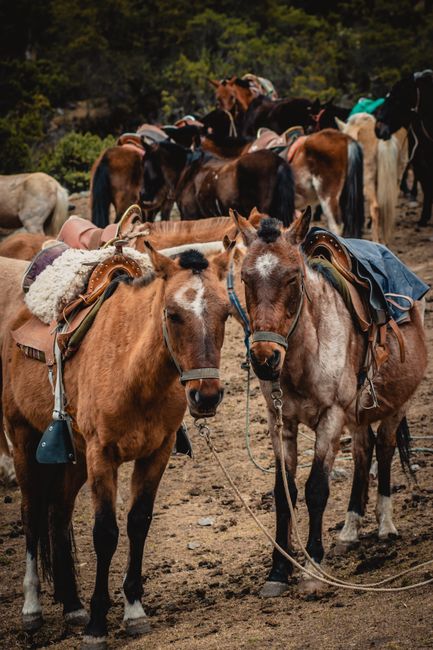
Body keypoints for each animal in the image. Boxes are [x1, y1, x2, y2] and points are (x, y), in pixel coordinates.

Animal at [1, 242, 235, 646]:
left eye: (225, 312)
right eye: (172, 314)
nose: (206, 396)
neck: (134, 372)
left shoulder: (156, 453)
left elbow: (138, 523)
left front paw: (133, 611)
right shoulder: (102, 455)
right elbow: (105, 533)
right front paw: (97, 624)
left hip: (74, 458)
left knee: (58, 514)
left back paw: (72, 605)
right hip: (24, 441)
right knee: (32, 514)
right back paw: (32, 608)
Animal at [232, 210, 427, 597]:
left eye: (293, 277)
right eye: (245, 277)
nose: (264, 359)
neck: (306, 352)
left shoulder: (331, 416)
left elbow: (316, 489)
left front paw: (312, 568)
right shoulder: (281, 422)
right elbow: (285, 492)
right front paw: (278, 571)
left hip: (396, 405)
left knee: (384, 450)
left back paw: (385, 525)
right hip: (358, 414)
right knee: (364, 450)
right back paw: (350, 530)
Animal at [335, 113, 406, 243]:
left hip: (368, 181)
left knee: (375, 207)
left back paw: (376, 241)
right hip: (396, 179)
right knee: (388, 208)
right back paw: (385, 240)